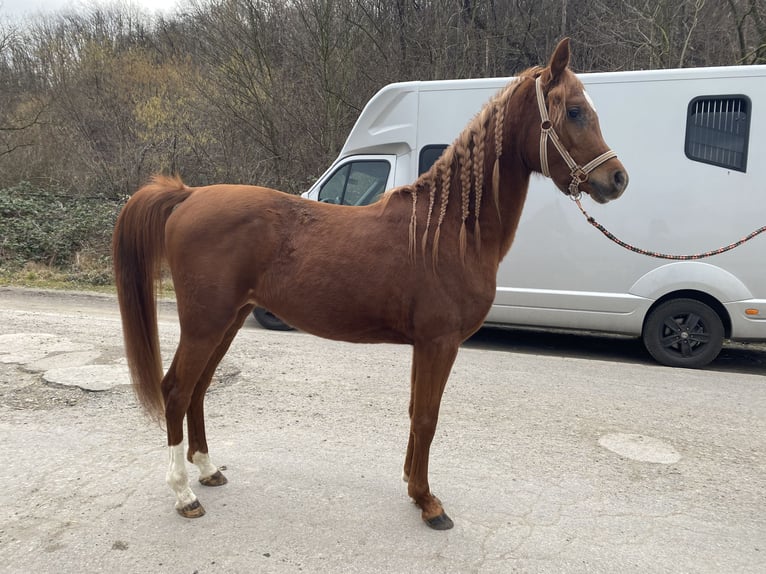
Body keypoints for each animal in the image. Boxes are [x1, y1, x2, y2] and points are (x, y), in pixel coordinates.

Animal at [114, 39, 632, 532]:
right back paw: (184, 494)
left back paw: (207, 470)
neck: (446, 231)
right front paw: (429, 503)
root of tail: (187, 195)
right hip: (206, 323)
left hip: (229, 320)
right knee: (176, 390)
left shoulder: (426, 345)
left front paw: (412, 486)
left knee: (198, 389)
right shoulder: (439, 342)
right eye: (574, 110)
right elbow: (427, 417)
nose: (618, 178)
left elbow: (416, 412)